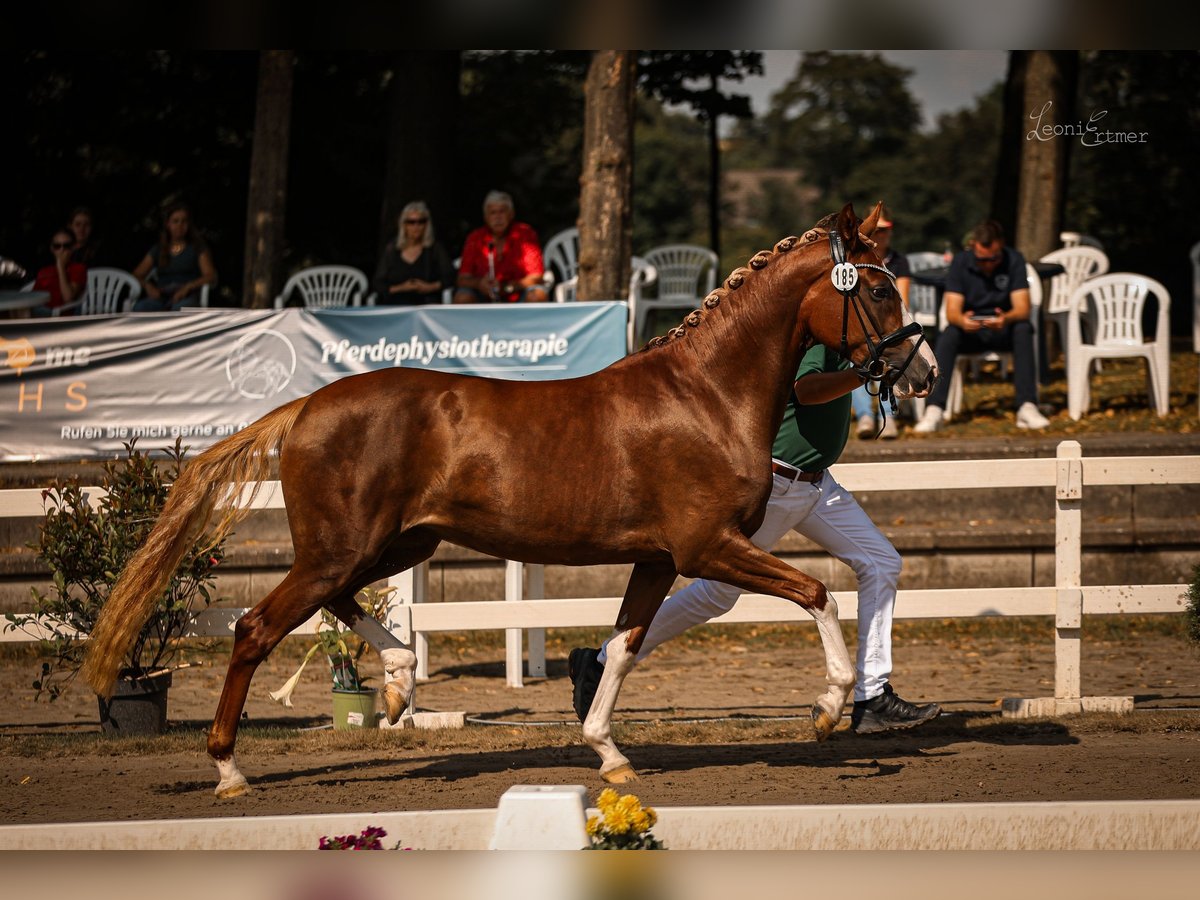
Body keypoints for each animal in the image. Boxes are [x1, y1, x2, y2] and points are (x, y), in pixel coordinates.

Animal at [82, 202, 936, 796]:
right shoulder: (710, 548)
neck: (706, 395)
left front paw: (610, 754)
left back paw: (399, 682)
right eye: (879, 289)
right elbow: (820, 593)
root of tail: (306, 406)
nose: (921, 372)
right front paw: (826, 710)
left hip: (393, 544)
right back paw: (231, 770)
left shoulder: (660, 561)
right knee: (256, 627)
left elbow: (624, 646)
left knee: (341, 605)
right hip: (342, 547)